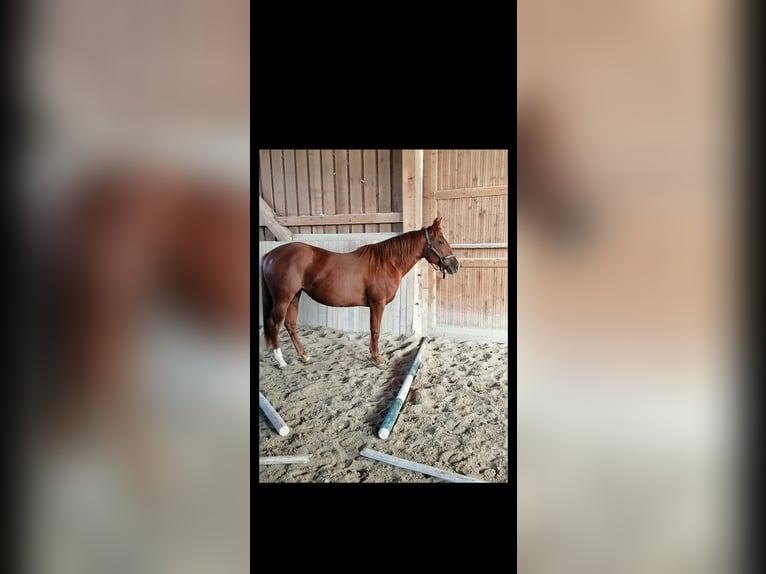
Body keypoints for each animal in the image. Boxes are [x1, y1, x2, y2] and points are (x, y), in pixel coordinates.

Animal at [260, 216, 460, 368]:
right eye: (441, 241)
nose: (456, 266)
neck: (386, 262)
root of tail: (270, 255)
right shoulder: (377, 304)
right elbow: (375, 330)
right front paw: (378, 359)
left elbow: (373, 330)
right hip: (283, 299)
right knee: (274, 325)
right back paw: (281, 361)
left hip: (295, 296)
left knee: (290, 325)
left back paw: (304, 356)